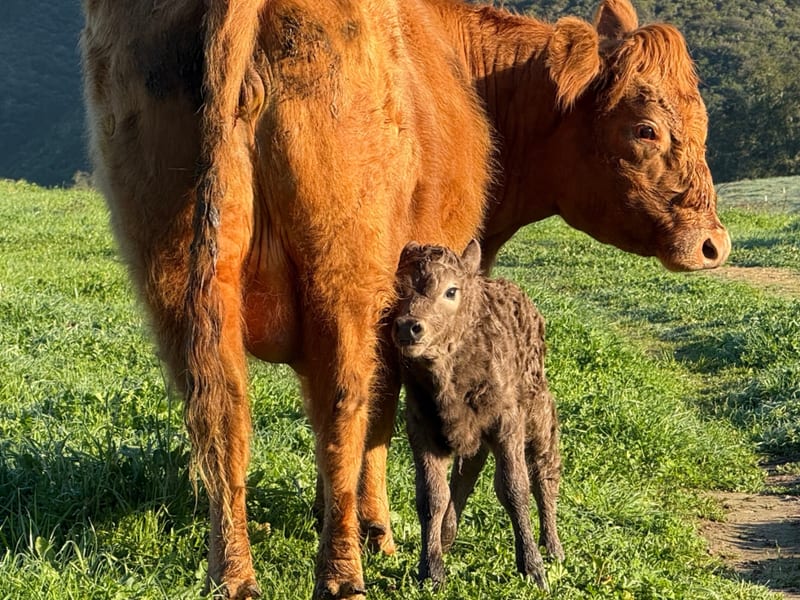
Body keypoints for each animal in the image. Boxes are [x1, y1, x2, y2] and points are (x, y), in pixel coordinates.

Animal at [394, 240, 562, 590]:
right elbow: (432, 496)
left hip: (539, 411)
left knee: (544, 471)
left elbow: (514, 488)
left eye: (451, 290)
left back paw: (553, 546)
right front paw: (431, 569)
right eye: (397, 288)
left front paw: (533, 567)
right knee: (466, 473)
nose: (408, 327)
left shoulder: (506, 423)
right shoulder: (422, 427)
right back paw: (446, 535)